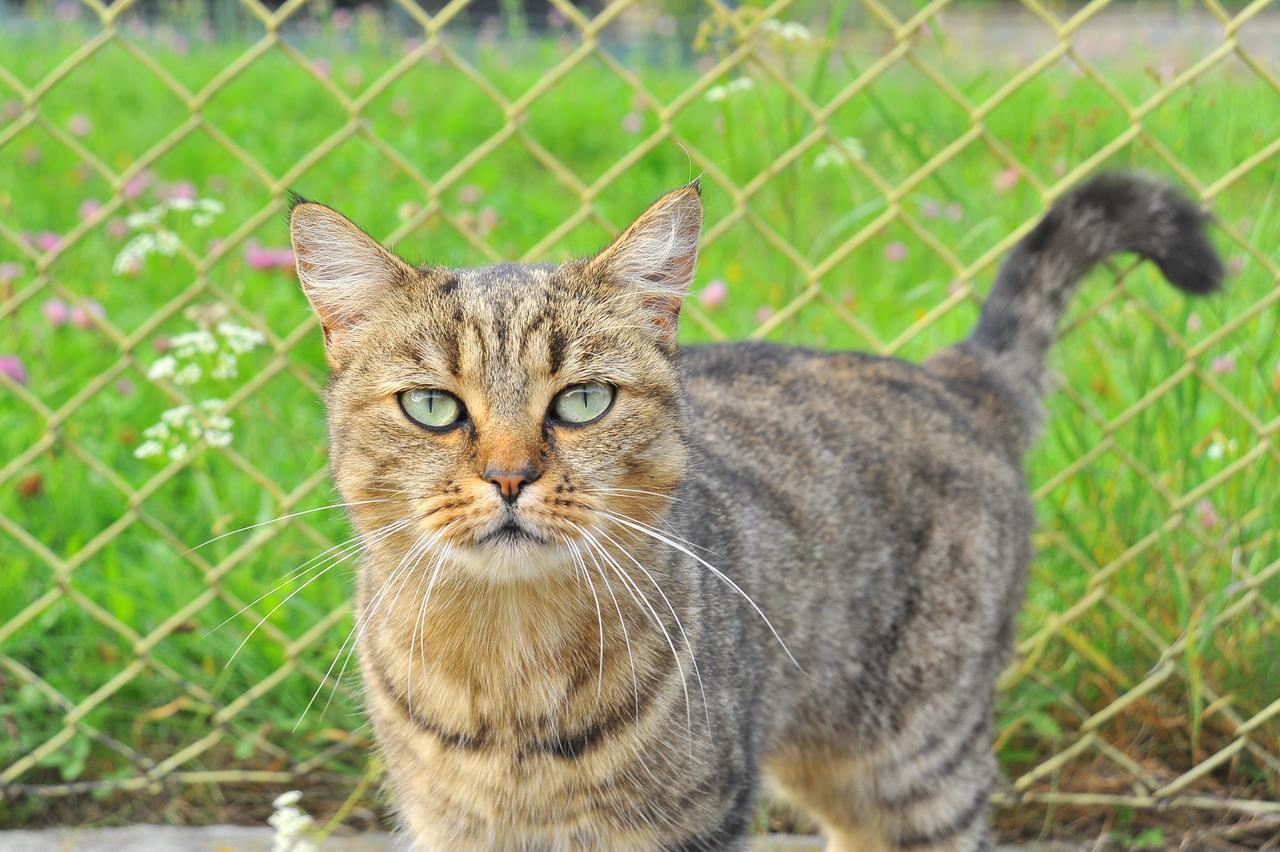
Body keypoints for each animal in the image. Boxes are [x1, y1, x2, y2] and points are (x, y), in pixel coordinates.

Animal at [288, 171, 1218, 844]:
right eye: (433, 407)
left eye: (584, 401)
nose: (510, 477)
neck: (507, 669)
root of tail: (952, 374)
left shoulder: (694, 819)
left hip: (920, 761)